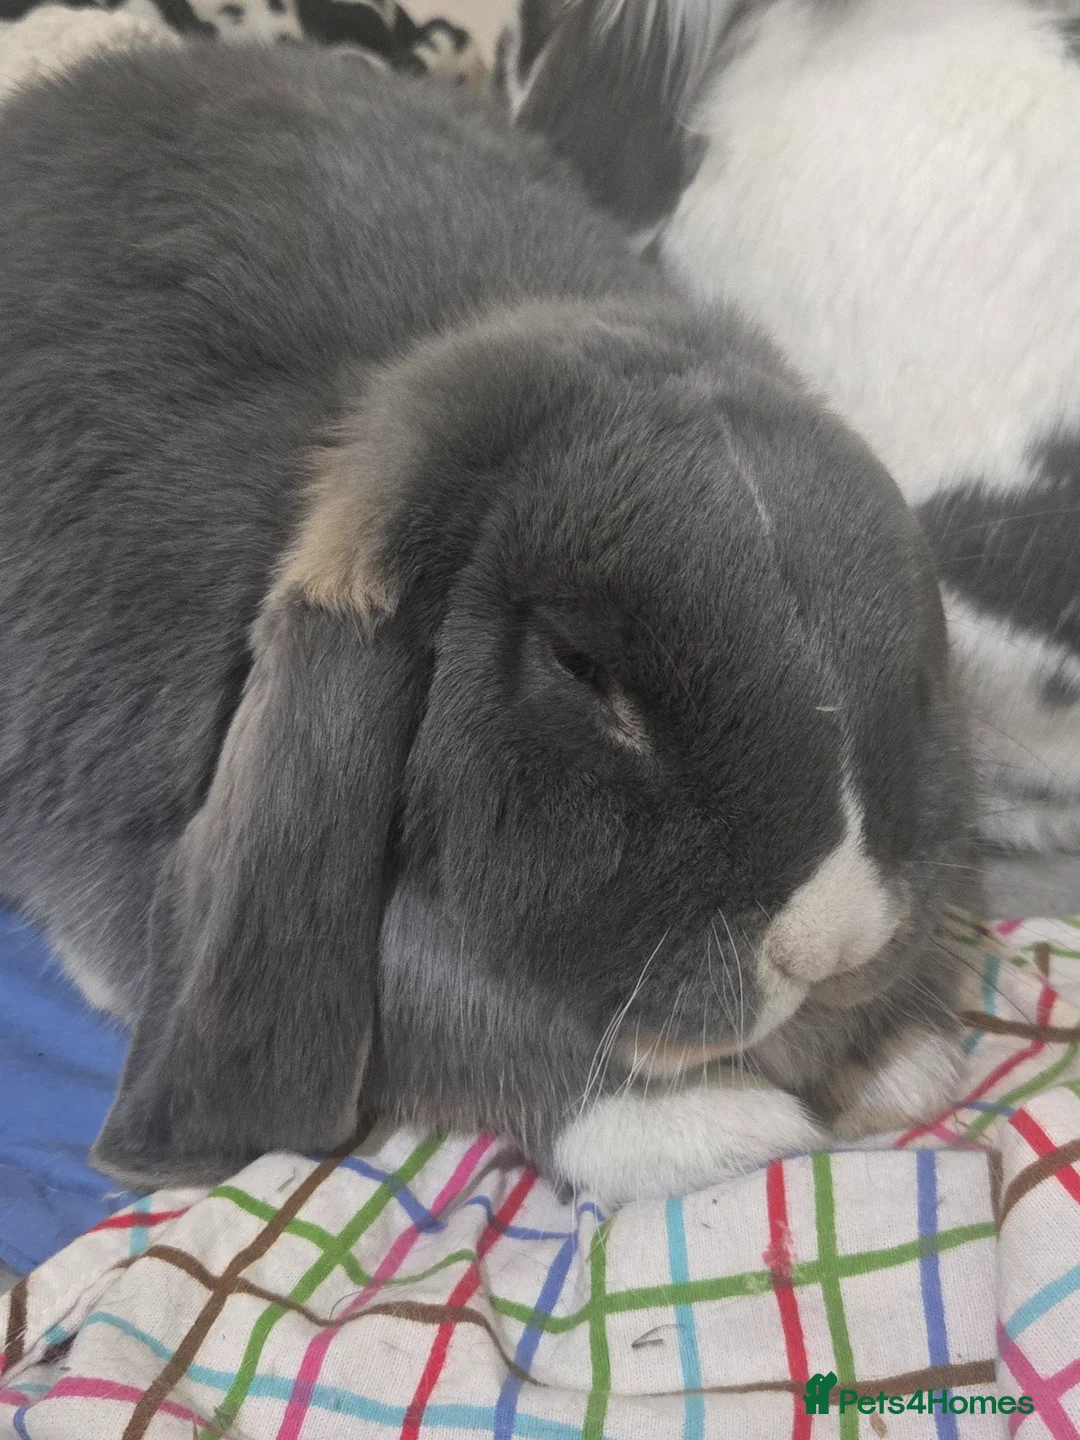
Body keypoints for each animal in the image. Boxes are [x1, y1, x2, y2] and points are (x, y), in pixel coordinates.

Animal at [0, 39, 974, 1207]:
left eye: (914, 682)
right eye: (579, 665)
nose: (830, 945)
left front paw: (897, 1058)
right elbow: (445, 1008)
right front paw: (709, 1128)